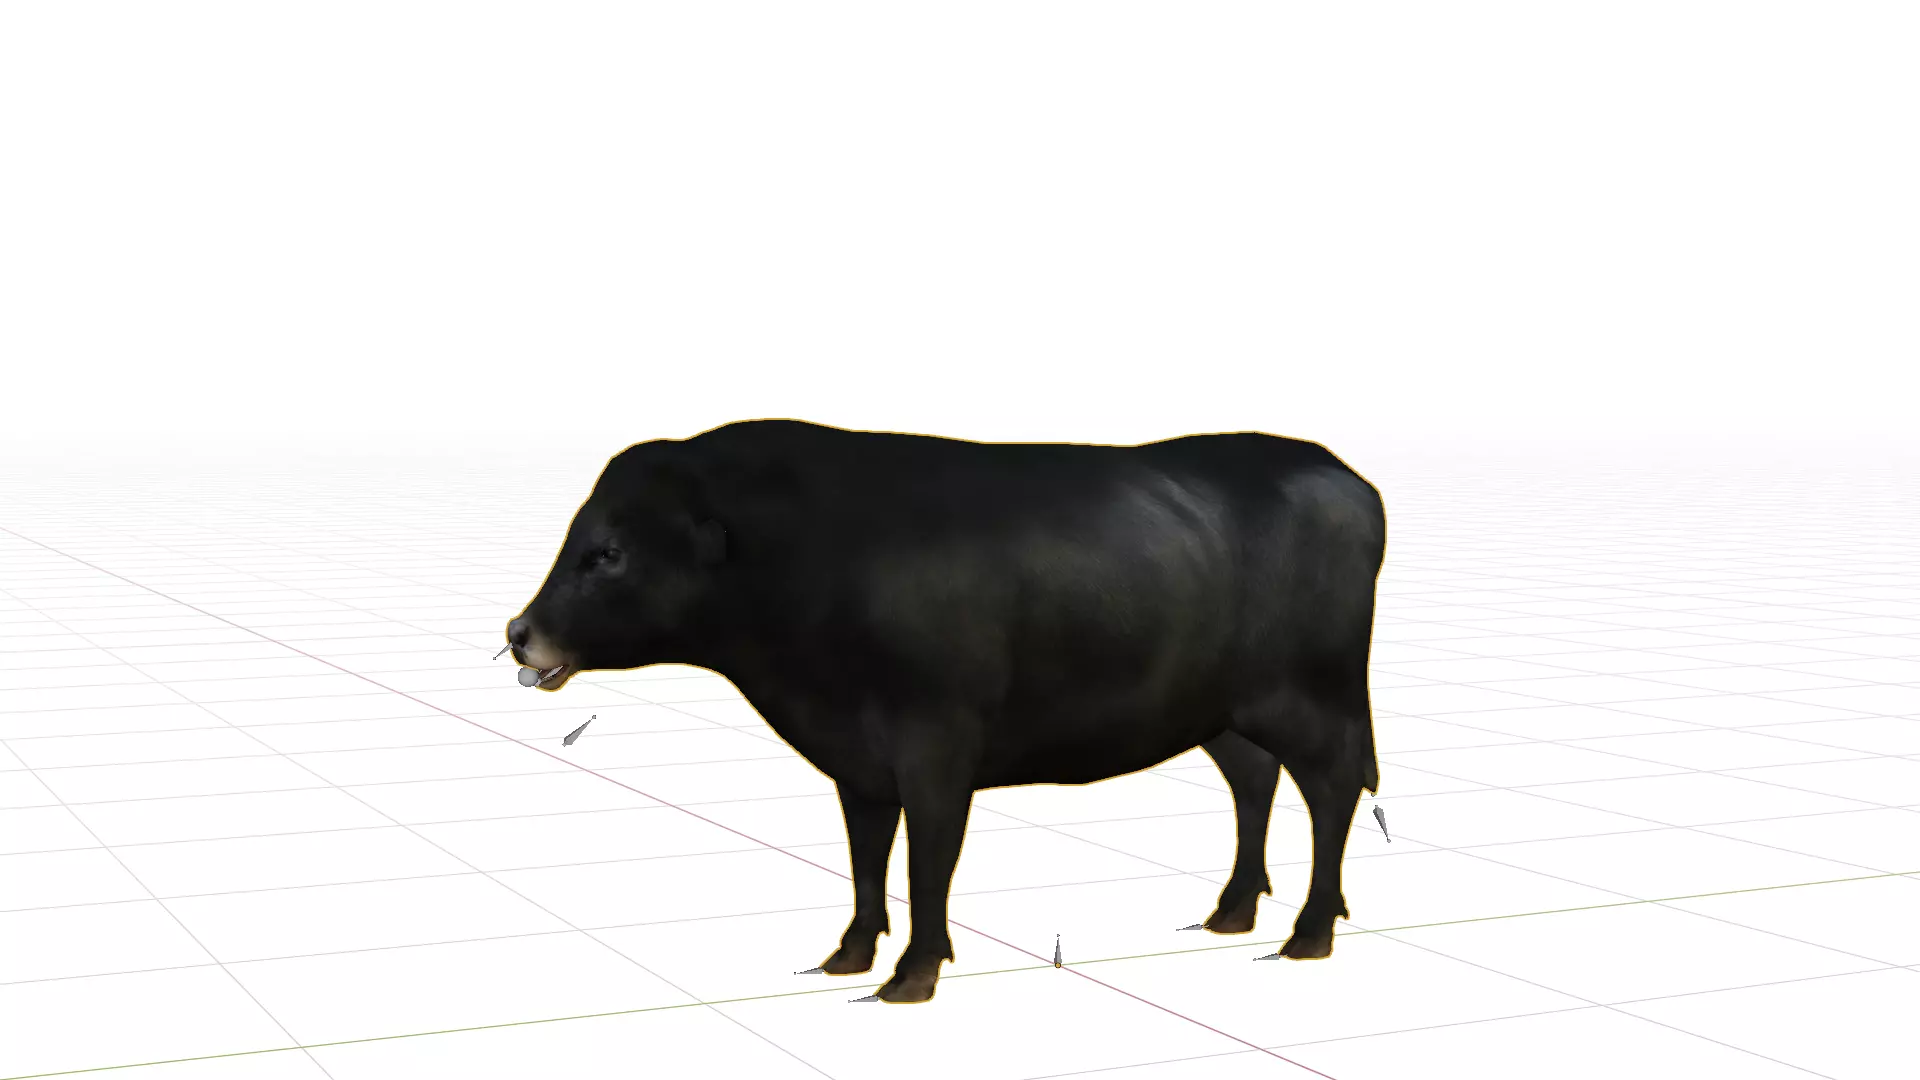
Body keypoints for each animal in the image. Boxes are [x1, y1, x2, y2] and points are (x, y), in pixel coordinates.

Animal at [506, 419, 1386, 1004]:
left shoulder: (936, 749)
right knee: (1255, 780)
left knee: (1332, 787)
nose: (519, 632)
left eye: (609, 553)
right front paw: (849, 954)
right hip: (1223, 711)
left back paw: (1309, 932)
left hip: (1312, 696)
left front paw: (914, 974)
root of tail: (1344, 477)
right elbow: (866, 857)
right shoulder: (858, 759)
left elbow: (928, 863)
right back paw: (1233, 910)